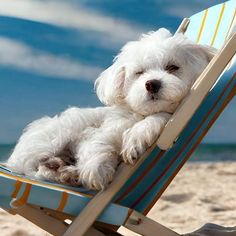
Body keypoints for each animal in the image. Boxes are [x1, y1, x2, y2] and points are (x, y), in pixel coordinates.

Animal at [6, 29, 214, 190]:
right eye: (139, 73)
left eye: (173, 67)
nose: (151, 84)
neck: (139, 115)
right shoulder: (102, 131)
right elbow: (99, 143)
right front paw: (97, 169)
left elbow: (158, 118)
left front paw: (137, 136)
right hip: (54, 137)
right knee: (32, 167)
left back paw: (63, 170)